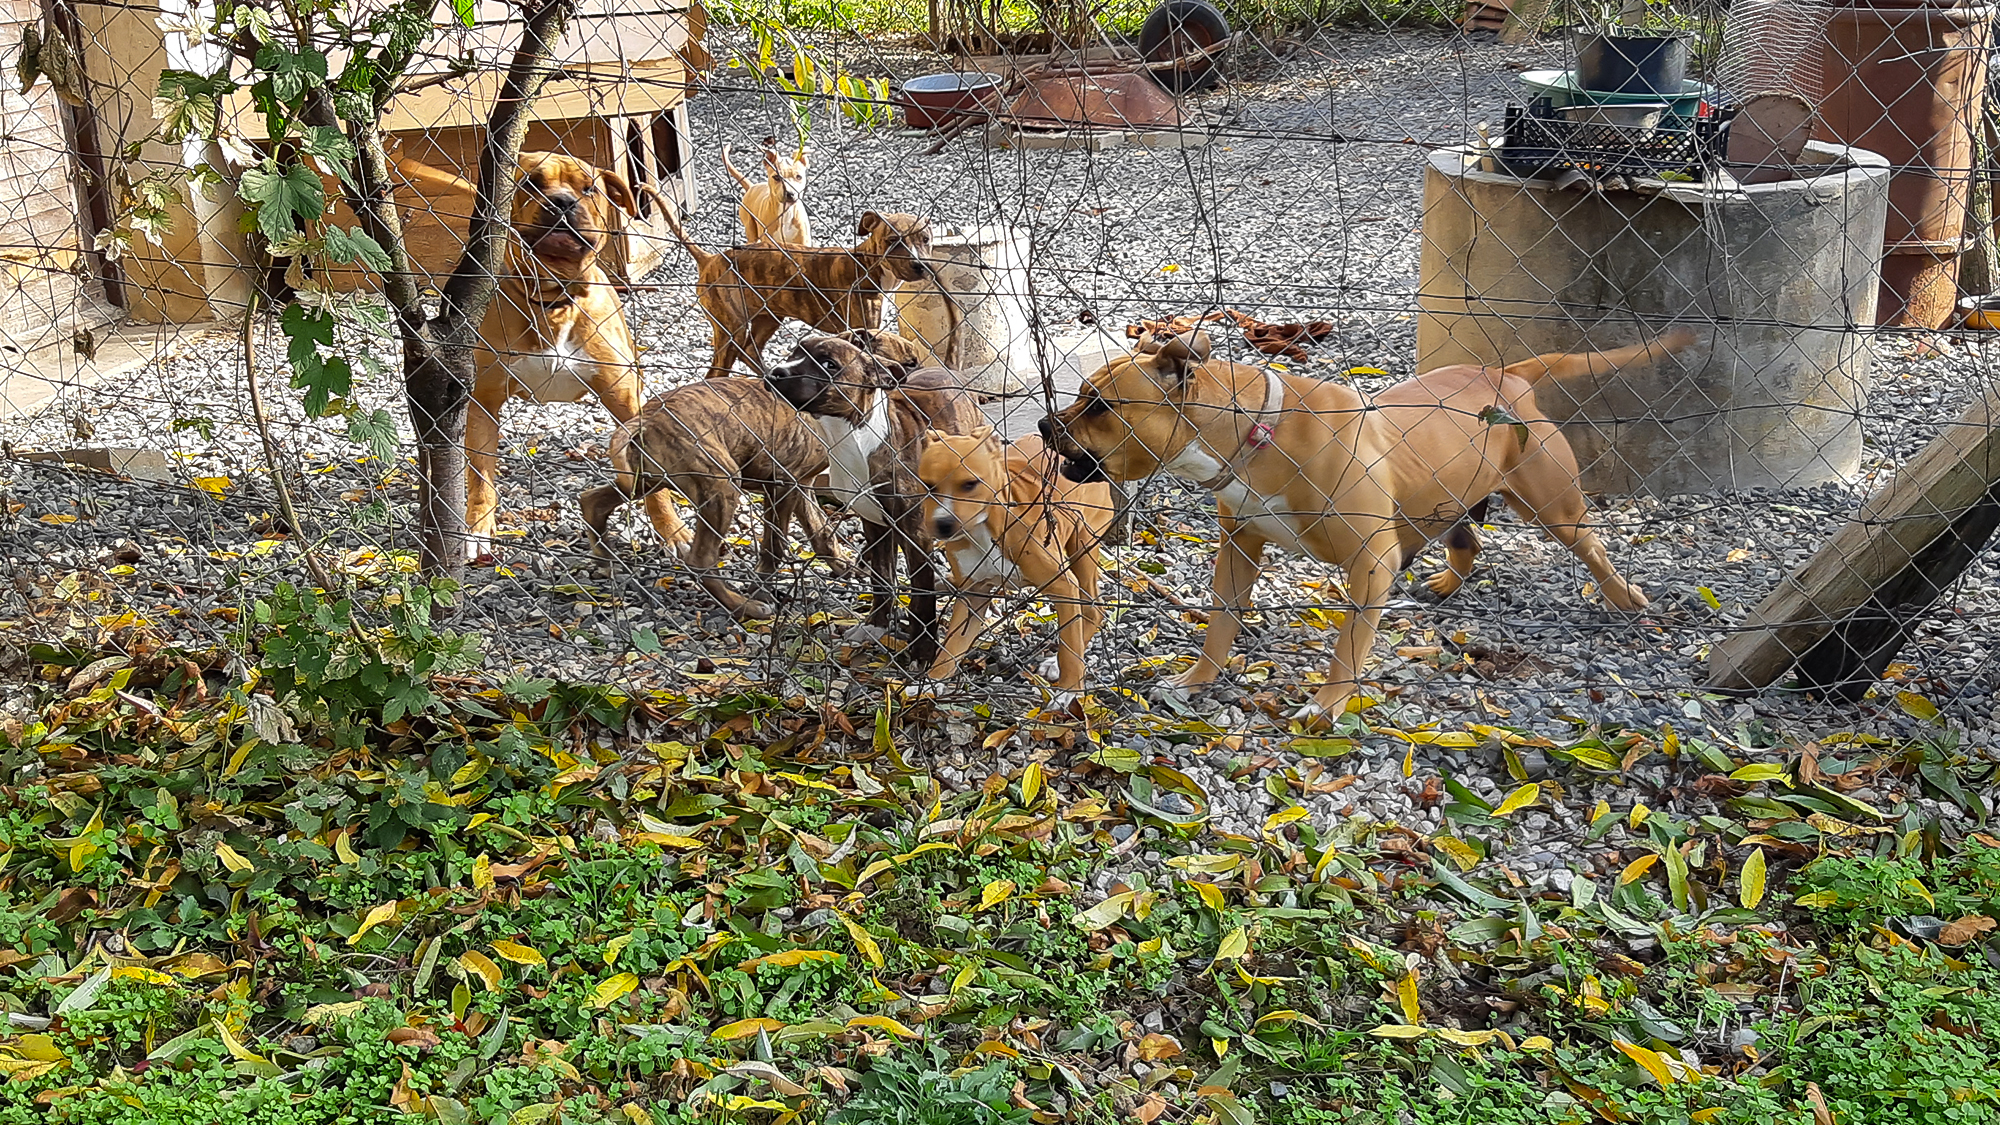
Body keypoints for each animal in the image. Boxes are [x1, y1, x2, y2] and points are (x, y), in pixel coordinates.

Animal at [660, 209, 964, 380]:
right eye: (892, 241)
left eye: (925, 239)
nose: (921, 265)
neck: (868, 265)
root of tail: (710, 259)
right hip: (730, 327)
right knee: (720, 367)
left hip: (768, 317)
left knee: (750, 350)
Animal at [916, 428, 1120, 692]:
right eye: (928, 486)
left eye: (970, 484)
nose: (943, 524)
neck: (983, 528)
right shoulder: (973, 593)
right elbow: (952, 645)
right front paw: (931, 681)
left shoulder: (1063, 586)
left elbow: (1070, 646)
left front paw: (1068, 690)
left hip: (1083, 546)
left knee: (1093, 612)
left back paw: (1055, 664)